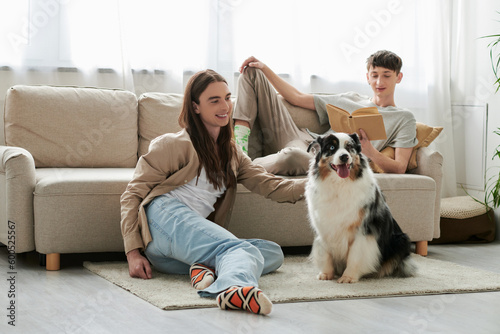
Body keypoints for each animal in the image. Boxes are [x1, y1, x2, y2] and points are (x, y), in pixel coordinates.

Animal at [304, 132, 418, 284]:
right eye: (332, 147)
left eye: (349, 147)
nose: (344, 156)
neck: (340, 184)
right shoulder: (325, 226)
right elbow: (325, 252)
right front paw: (326, 274)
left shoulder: (363, 229)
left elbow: (355, 254)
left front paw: (348, 277)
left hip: (401, 240)